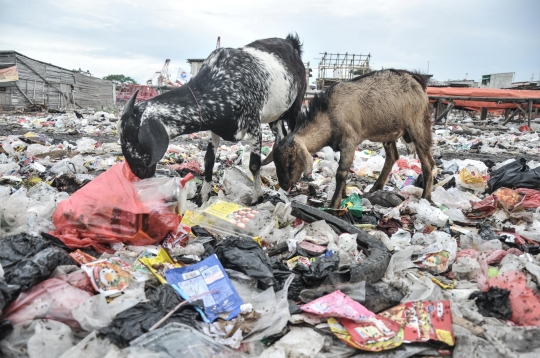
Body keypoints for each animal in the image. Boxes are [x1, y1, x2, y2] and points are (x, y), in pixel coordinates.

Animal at [120, 35, 306, 204]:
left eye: (132, 136)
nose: (138, 173)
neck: (220, 84)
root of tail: (291, 42)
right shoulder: (215, 127)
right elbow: (208, 161)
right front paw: (203, 197)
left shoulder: (253, 124)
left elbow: (254, 164)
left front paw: (257, 197)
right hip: (276, 116)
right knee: (280, 137)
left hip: (295, 106)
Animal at [270, 69, 434, 208]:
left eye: (291, 159)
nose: (284, 185)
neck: (329, 114)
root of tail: (418, 79)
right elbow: (346, 169)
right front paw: (344, 195)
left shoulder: (349, 140)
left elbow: (341, 172)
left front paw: (334, 204)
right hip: (389, 132)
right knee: (393, 155)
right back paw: (375, 188)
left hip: (418, 125)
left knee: (428, 163)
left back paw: (426, 197)